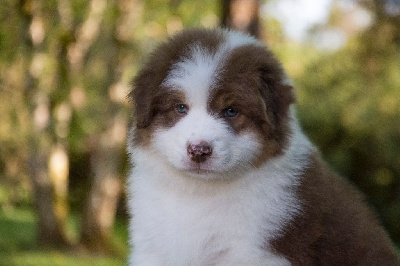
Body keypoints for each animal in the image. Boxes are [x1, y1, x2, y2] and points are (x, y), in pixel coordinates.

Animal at [126, 28, 398, 264]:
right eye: (180, 107)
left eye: (231, 111)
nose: (199, 150)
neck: (198, 193)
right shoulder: (151, 248)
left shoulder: (258, 253)